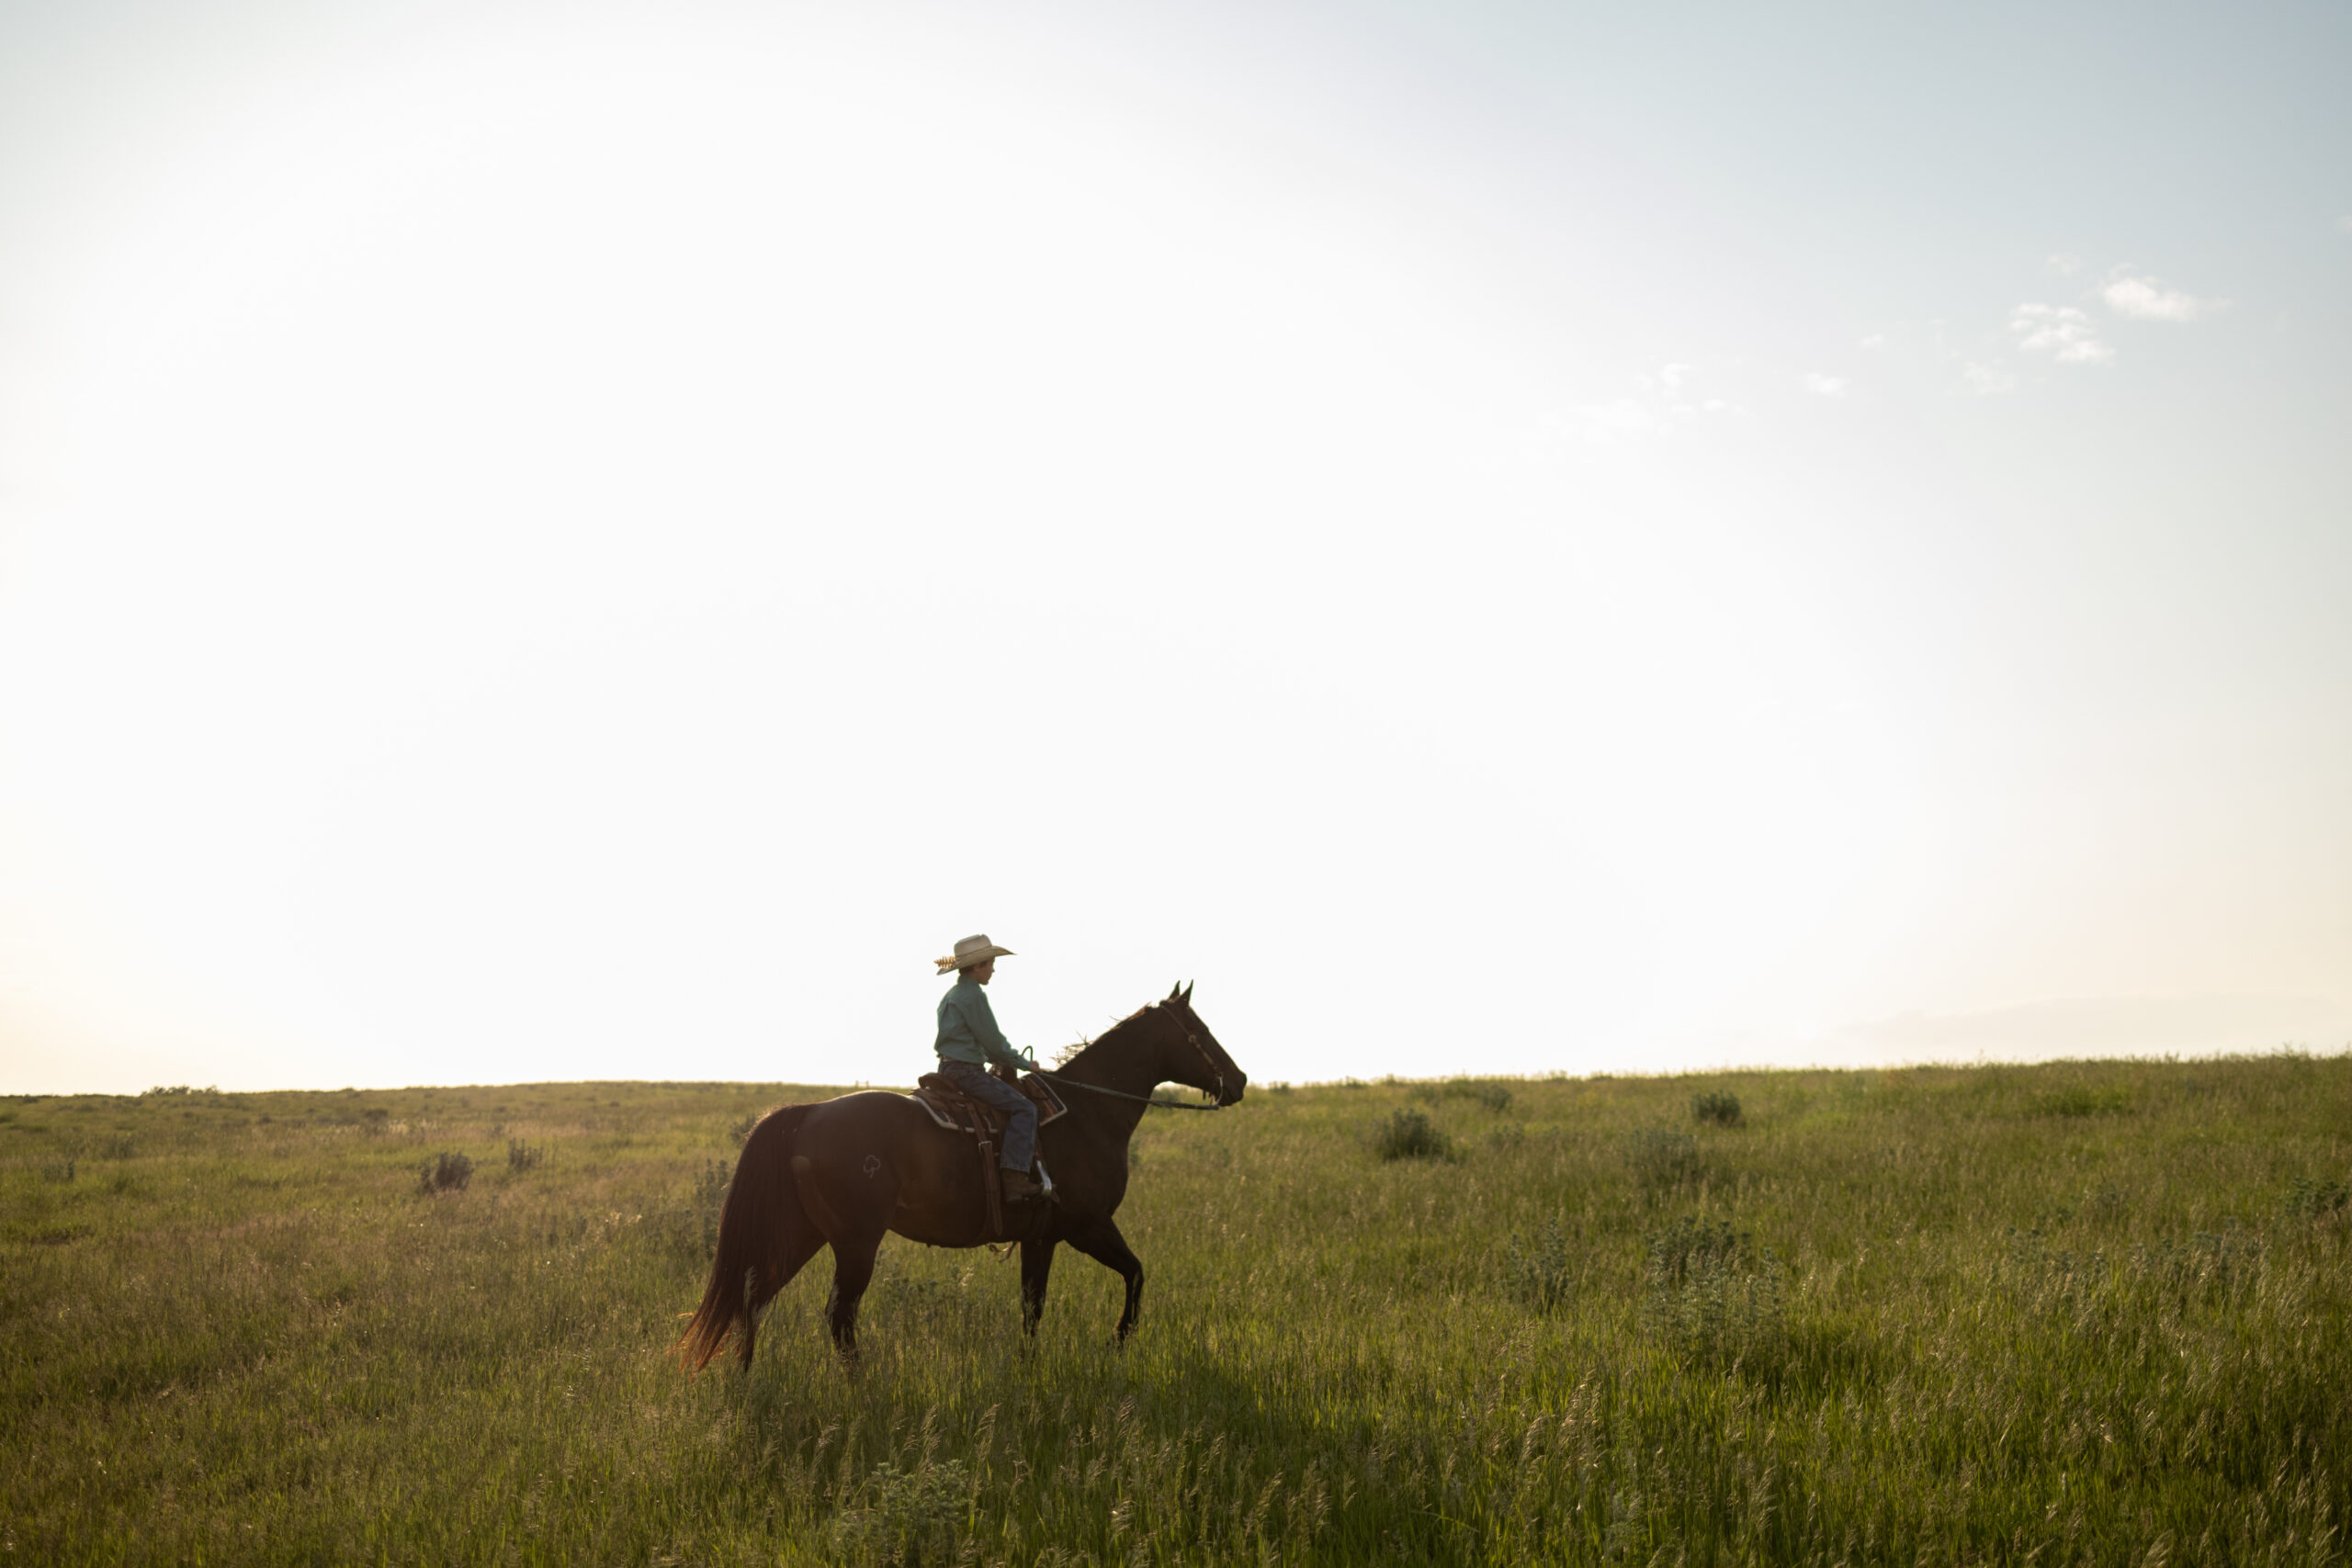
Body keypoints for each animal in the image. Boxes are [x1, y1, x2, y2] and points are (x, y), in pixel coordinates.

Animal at [678, 982, 1246, 1368]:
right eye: (1200, 1031)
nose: (1238, 1081)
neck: (1089, 1112)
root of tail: (809, 1113)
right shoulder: (1087, 1226)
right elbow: (1135, 1274)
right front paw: (1116, 1341)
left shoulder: (1042, 1238)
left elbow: (1033, 1308)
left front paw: (1029, 1368)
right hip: (855, 1243)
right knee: (838, 1319)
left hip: (805, 1234)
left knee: (753, 1297)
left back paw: (747, 1375)